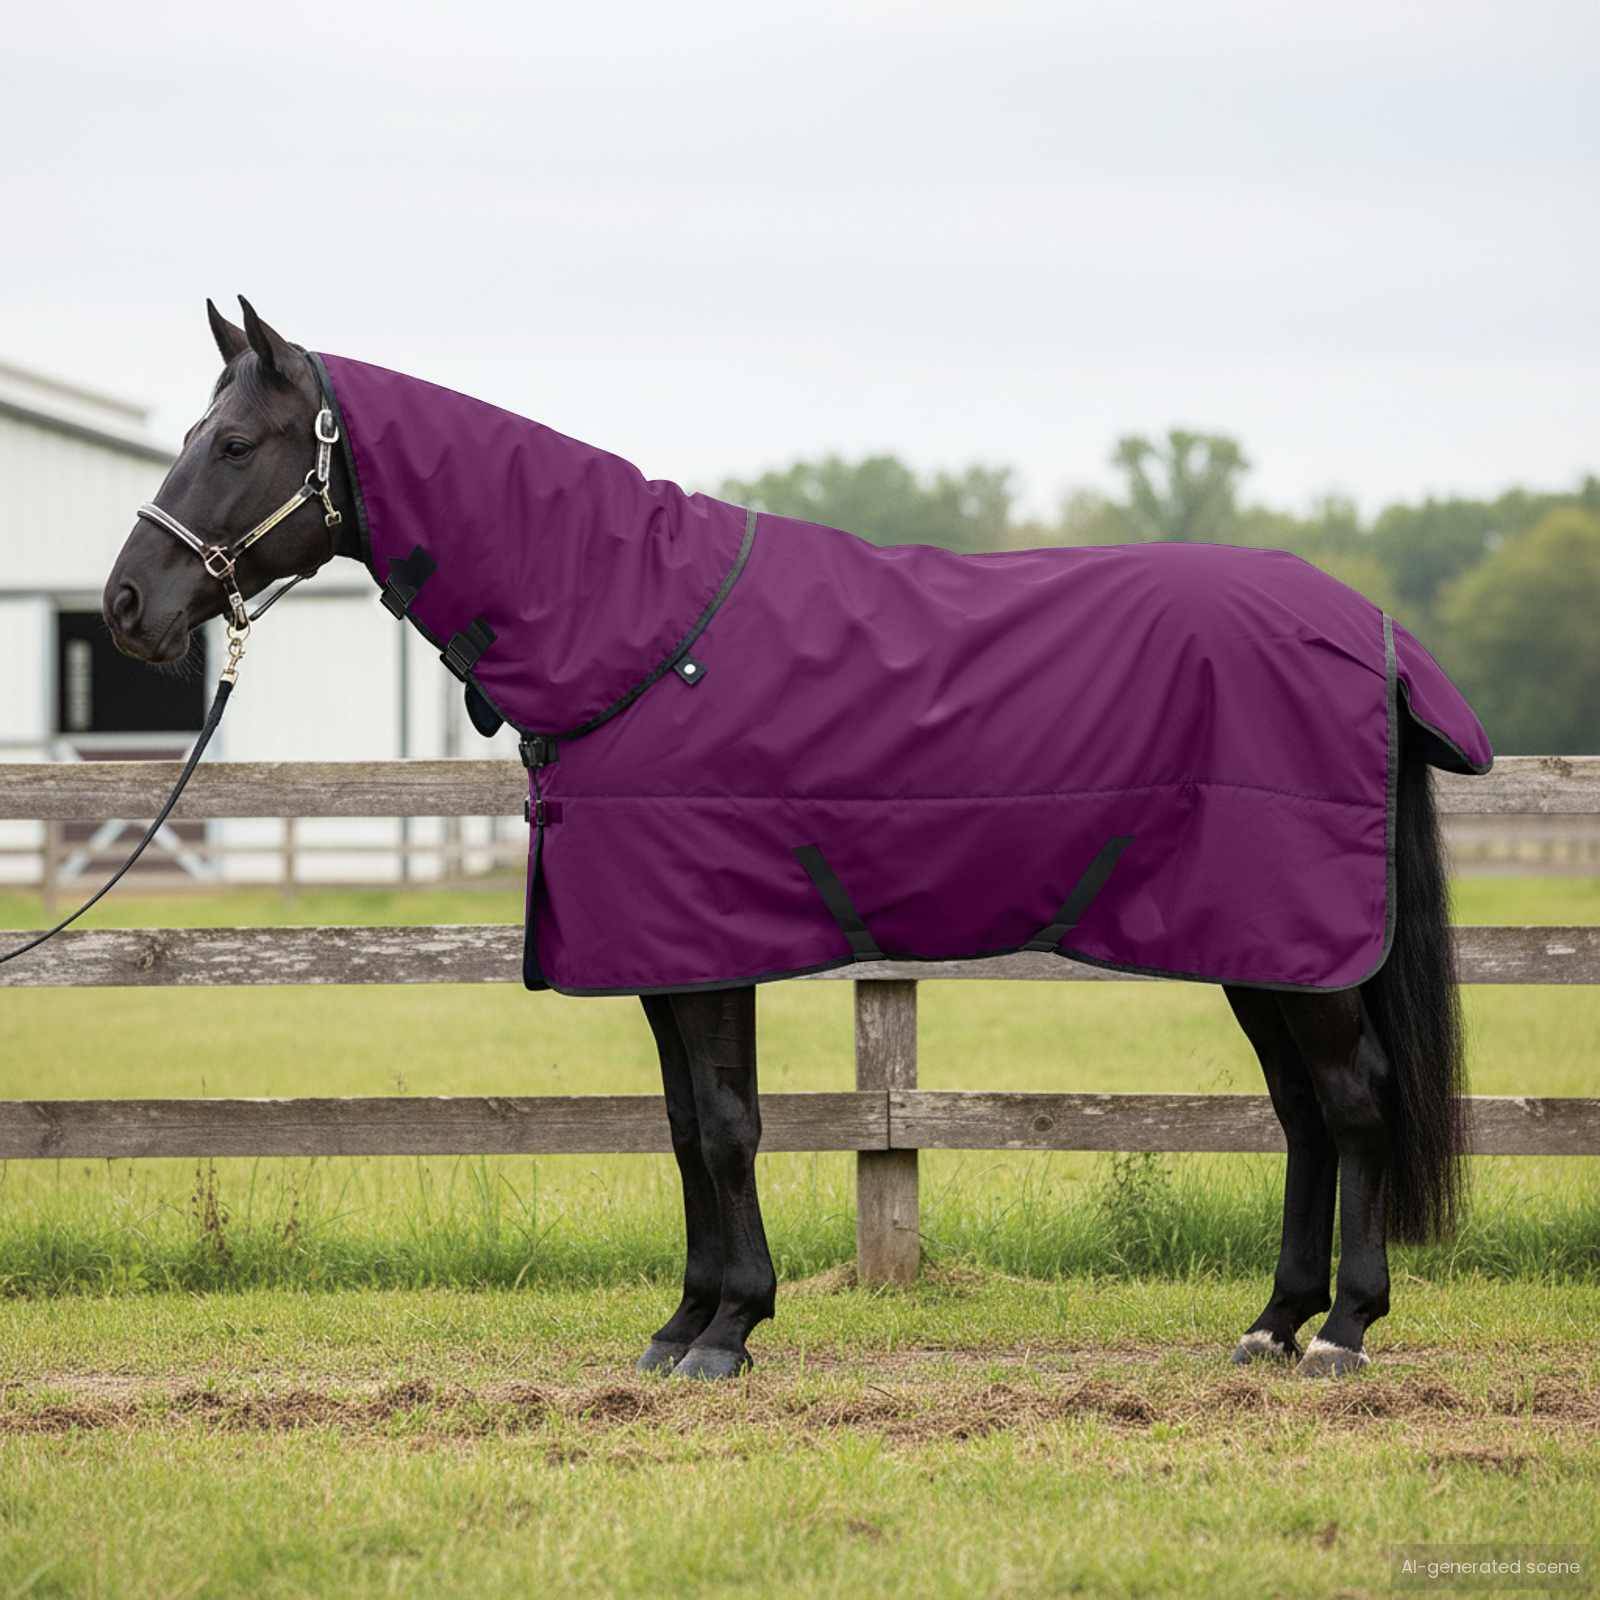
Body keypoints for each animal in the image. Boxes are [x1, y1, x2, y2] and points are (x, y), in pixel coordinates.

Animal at [101, 297, 1485, 1381]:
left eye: (234, 442)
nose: (126, 605)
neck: (638, 627)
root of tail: (1368, 632)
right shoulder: (662, 955)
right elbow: (681, 1127)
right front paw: (683, 1324)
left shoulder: (706, 945)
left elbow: (724, 1124)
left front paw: (728, 1331)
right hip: (1264, 949)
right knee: (1304, 1115)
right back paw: (1271, 1323)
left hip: (1295, 943)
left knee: (1353, 1102)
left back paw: (1343, 1331)